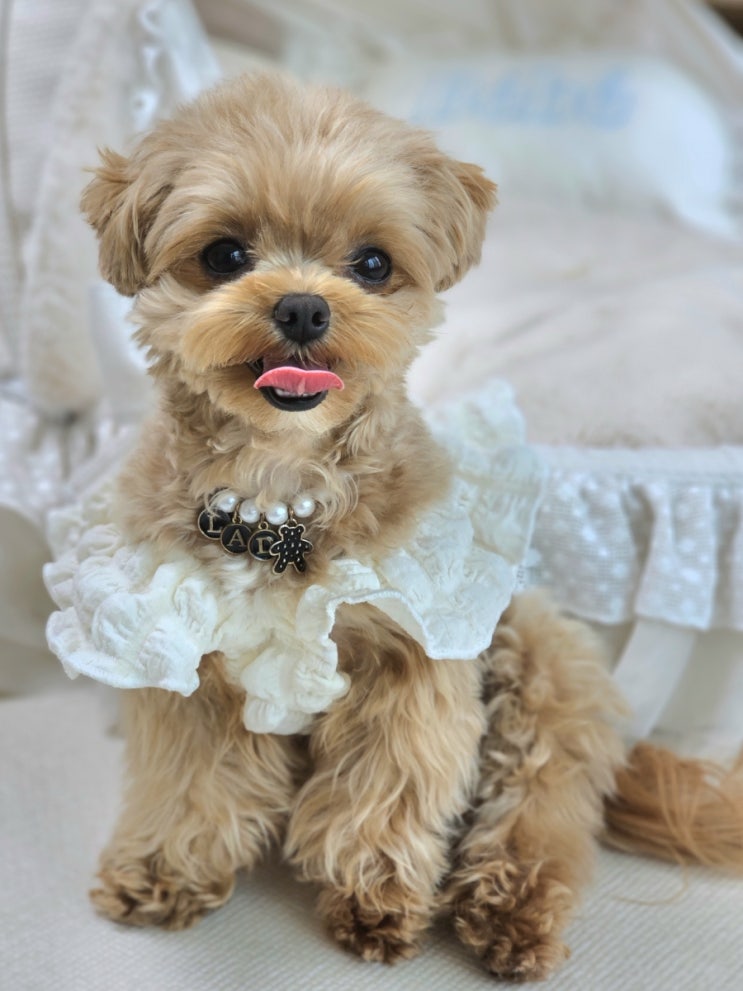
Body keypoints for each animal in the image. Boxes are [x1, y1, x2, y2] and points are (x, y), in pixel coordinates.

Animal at [71, 72, 632, 981]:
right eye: (224, 255)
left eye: (372, 264)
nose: (302, 306)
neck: (278, 501)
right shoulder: (187, 668)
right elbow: (189, 783)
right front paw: (162, 871)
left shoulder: (411, 659)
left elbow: (384, 790)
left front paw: (374, 901)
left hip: (539, 668)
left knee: (538, 810)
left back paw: (507, 911)